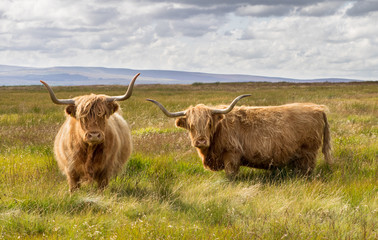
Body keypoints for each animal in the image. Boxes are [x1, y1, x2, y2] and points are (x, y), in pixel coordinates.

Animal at [148, 95, 330, 176]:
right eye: (191, 126)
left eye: (209, 123)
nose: (200, 141)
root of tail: (318, 108)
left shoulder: (232, 154)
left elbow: (230, 175)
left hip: (308, 153)